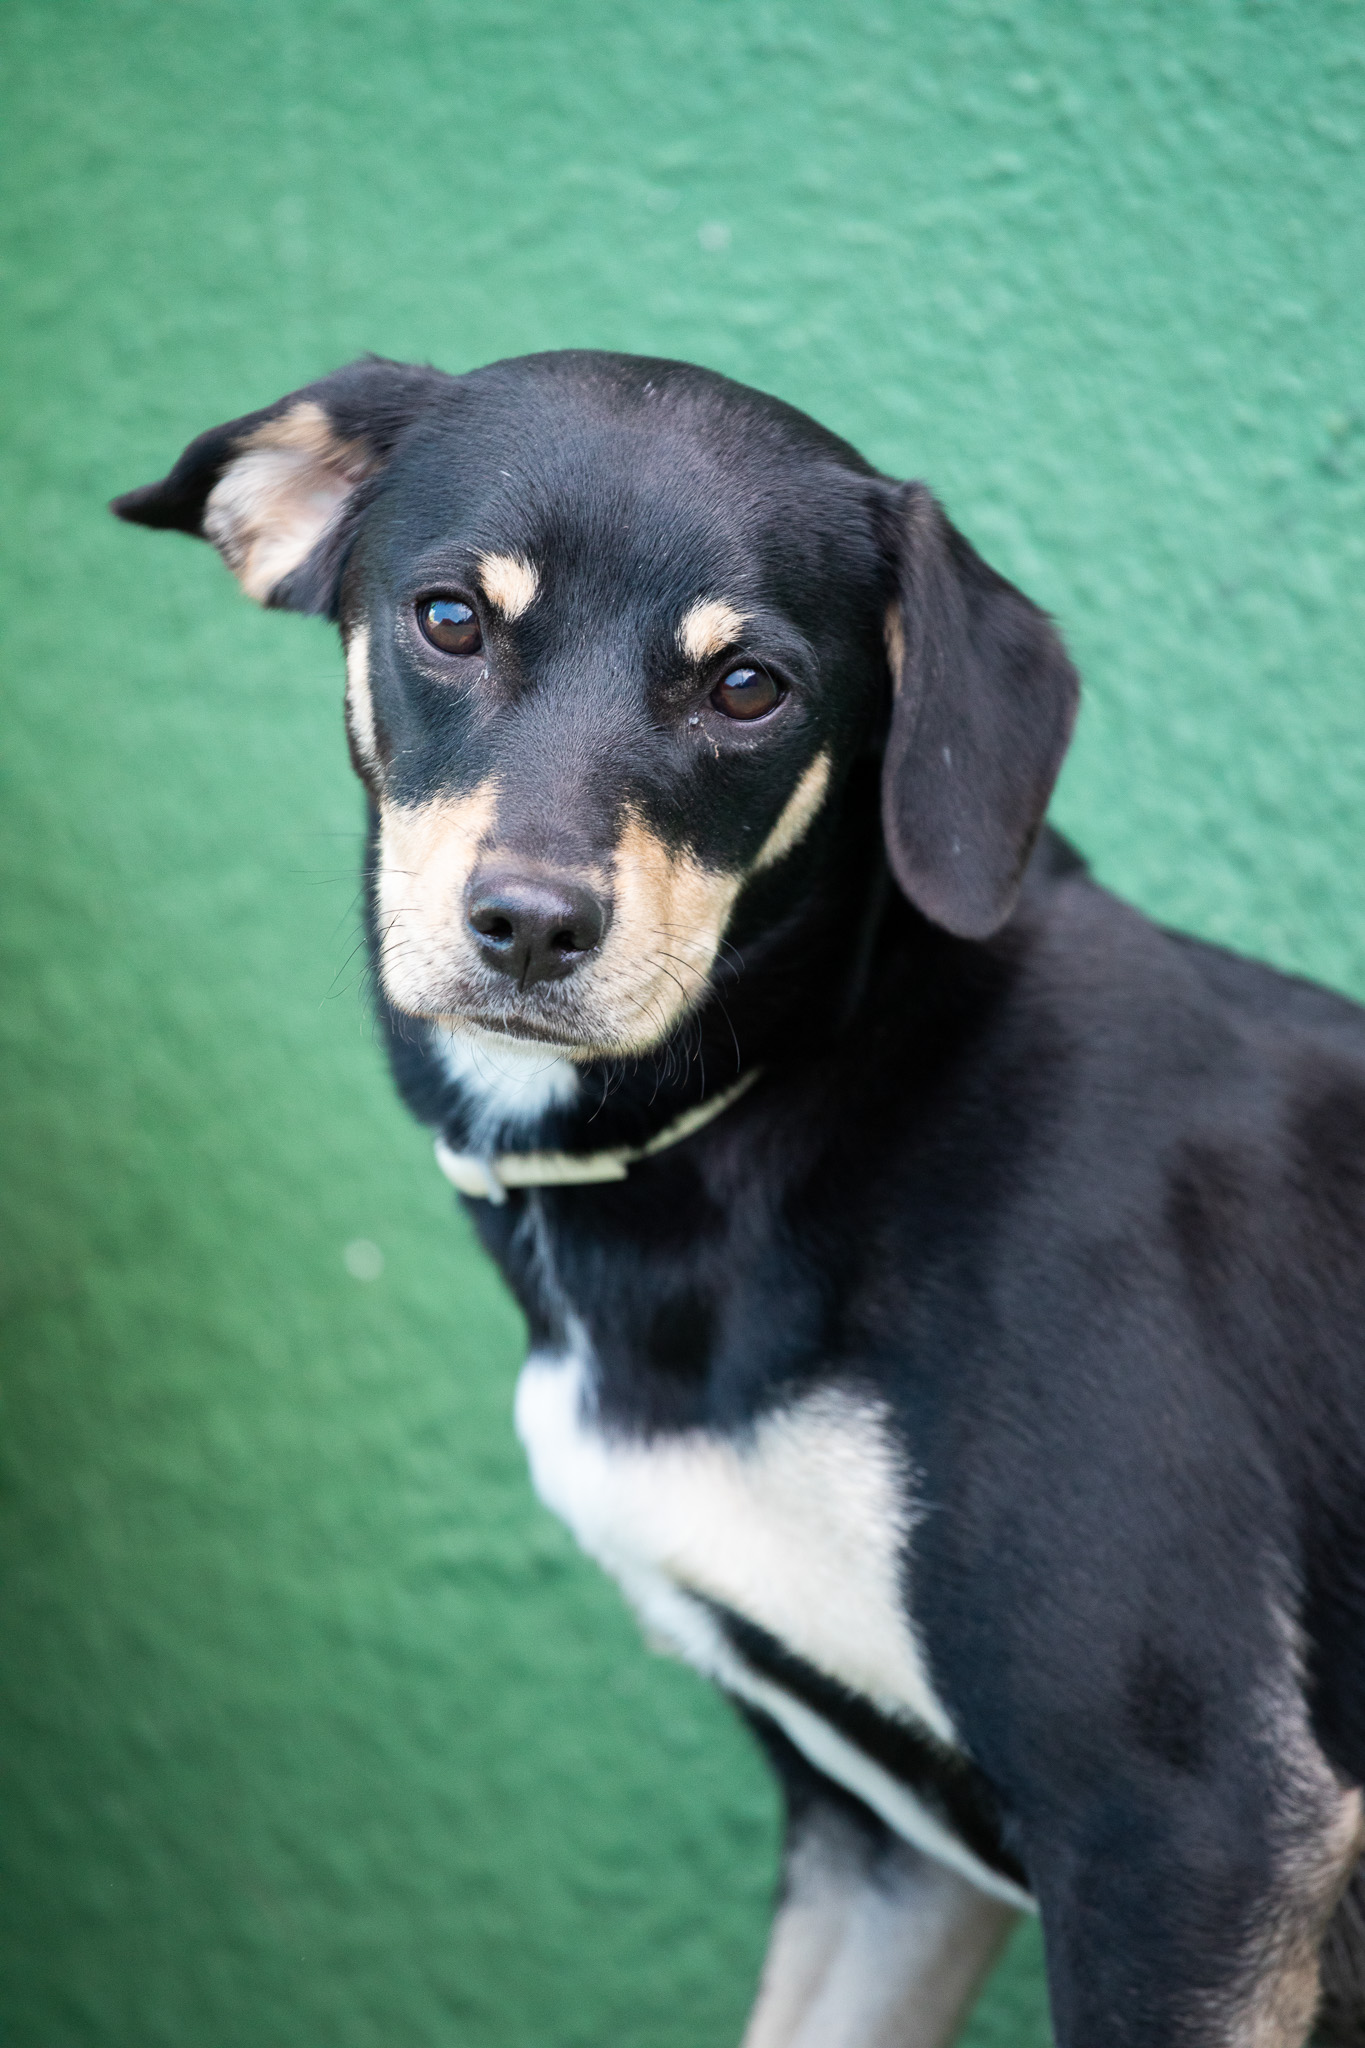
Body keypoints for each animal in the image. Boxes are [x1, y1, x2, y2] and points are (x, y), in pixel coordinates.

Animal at [112, 356, 1365, 2048]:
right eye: (449, 618)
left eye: (749, 688)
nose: (528, 925)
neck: (797, 1089)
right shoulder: (887, 1856)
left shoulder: (1184, 1822)